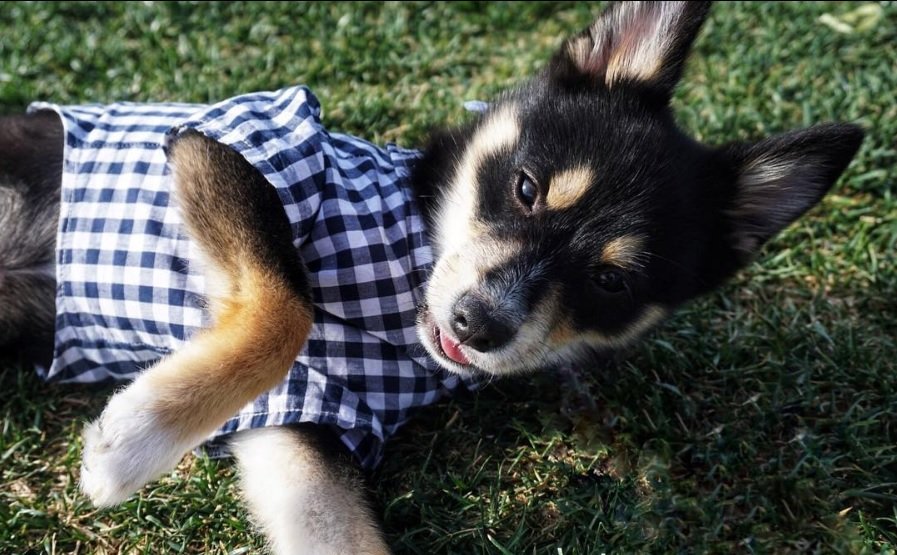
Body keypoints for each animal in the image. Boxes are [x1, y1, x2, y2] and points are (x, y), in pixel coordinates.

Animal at [0, 2, 860, 552]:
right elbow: (288, 303)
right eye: (525, 187)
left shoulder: (304, 422)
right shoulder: (217, 142)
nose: (479, 323)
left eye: (611, 281)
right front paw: (129, 443)